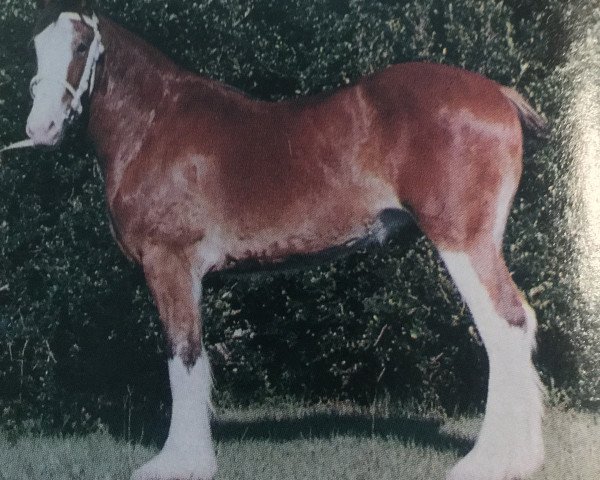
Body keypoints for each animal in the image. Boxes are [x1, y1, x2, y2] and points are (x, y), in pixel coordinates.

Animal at [5, 0, 548, 480]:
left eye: (80, 44)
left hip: (461, 240)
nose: (41, 126)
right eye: (34, 45)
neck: (153, 125)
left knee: (505, 325)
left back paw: (489, 462)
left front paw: (181, 464)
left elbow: (183, 355)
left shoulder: (169, 263)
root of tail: (499, 94)